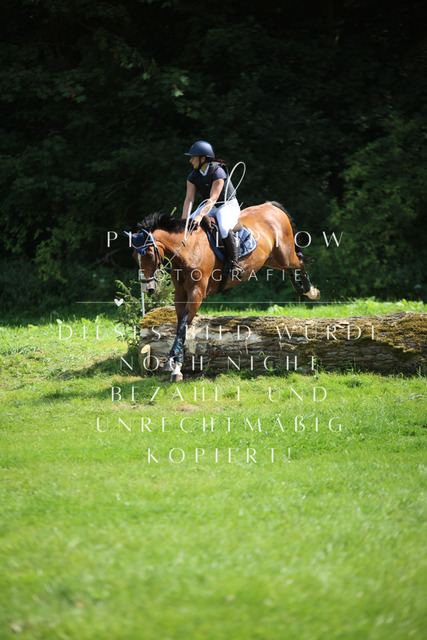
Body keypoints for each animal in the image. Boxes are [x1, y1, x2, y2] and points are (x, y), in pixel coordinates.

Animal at [129, 201, 320, 381]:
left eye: (150, 255)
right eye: (135, 258)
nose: (147, 288)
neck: (187, 250)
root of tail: (270, 206)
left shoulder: (197, 293)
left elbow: (183, 325)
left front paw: (171, 362)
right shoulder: (180, 294)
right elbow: (180, 326)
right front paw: (177, 366)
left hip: (284, 253)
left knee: (299, 261)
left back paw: (311, 291)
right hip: (271, 259)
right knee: (290, 269)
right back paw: (302, 288)